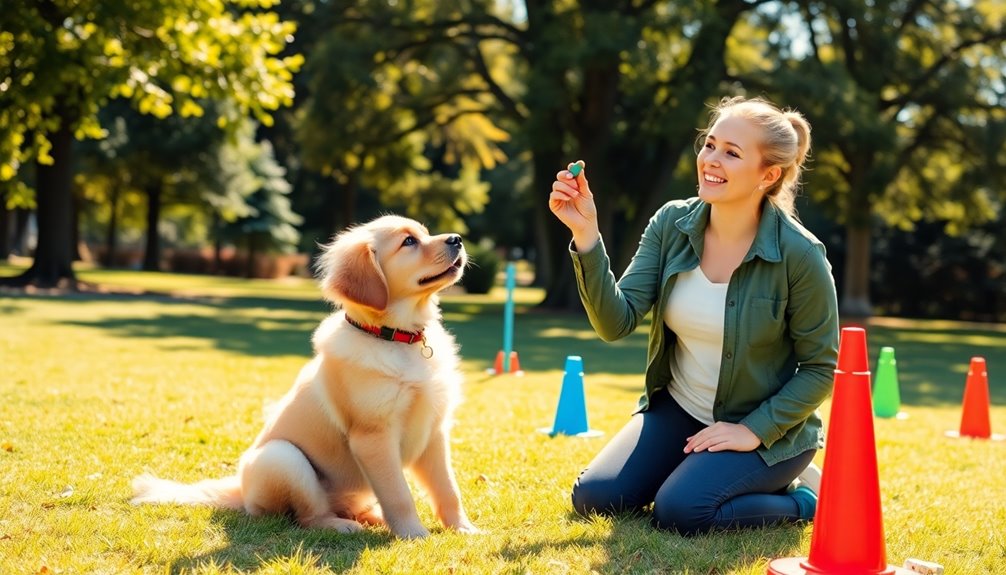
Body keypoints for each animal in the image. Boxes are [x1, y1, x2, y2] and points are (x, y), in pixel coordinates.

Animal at [132, 215, 474, 538]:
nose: (457, 238)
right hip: (284, 458)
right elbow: (399, 493)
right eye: (408, 242)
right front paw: (413, 533)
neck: (398, 338)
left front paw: (464, 529)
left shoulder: (435, 429)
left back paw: (372, 517)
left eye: (425, 233)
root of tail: (241, 492)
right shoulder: (373, 436)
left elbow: (448, 489)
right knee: (310, 516)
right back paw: (341, 525)